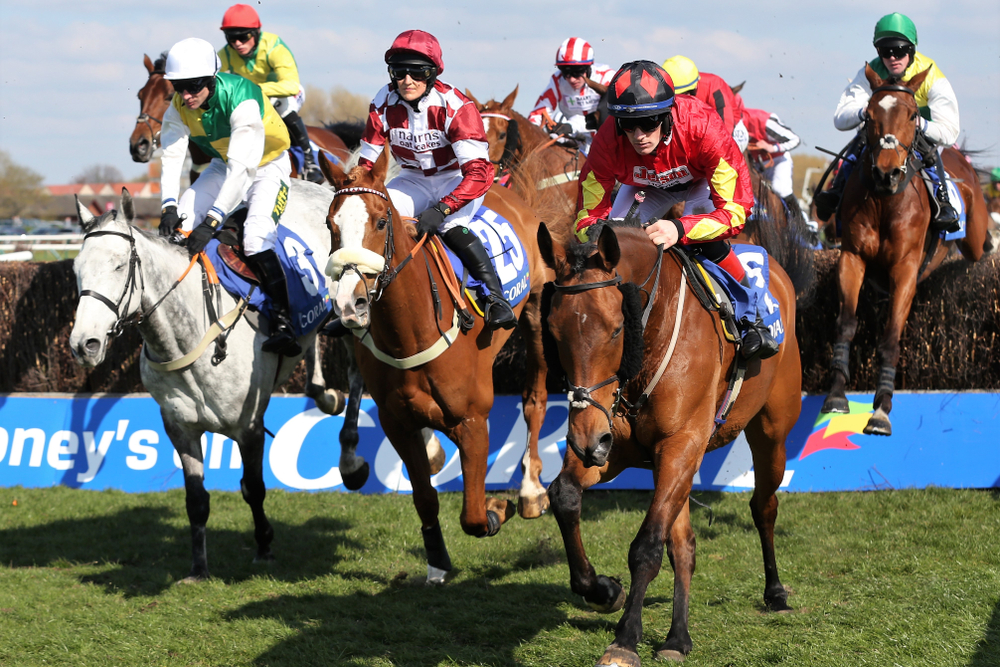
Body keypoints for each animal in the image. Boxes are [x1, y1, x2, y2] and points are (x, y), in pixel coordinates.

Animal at [318, 147, 556, 584]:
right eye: (331, 225)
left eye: (381, 221)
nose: (349, 303)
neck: (411, 332)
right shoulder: (397, 423)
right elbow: (425, 498)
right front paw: (438, 561)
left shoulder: (474, 422)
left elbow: (474, 516)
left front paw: (500, 508)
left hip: (535, 309)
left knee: (535, 399)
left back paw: (531, 491)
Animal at [536, 220, 800, 667]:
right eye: (554, 331)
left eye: (616, 328)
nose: (585, 439)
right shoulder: (618, 447)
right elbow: (565, 495)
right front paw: (603, 589)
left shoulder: (680, 444)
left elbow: (646, 546)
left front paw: (625, 639)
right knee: (684, 544)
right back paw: (678, 636)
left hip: (771, 433)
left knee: (764, 507)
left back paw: (776, 591)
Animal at [820, 65, 992, 436]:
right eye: (869, 115)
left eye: (913, 115)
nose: (886, 174)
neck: (885, 201)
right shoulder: (852, 258)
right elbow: (846, 323)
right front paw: (837, 394)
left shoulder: (905, 268)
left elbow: (890, 337)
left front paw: (881, 409)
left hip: (972, 236)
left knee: (980, 248)